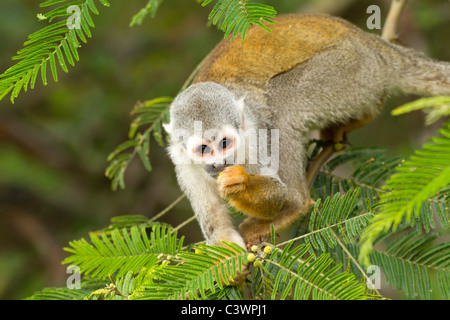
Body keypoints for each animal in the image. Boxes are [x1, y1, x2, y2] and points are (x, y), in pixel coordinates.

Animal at [163, 13, 450, 248]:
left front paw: (240, 183)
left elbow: (275, 191)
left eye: (224, 143)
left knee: (282, 106)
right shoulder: (183, 165)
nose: (220, 163)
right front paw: (232, 267)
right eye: (203, 149)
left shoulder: (254, 133)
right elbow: (218, 230)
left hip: (348, 69)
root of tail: (371, 43)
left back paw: (295, 204)